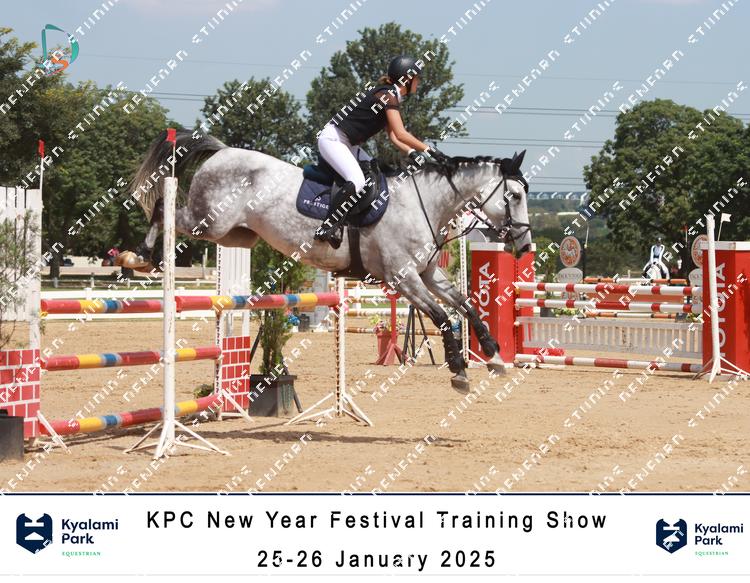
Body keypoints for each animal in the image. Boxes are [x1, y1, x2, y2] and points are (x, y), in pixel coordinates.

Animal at [125, 130, 532, 393]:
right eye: (513, 195)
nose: (526, 245)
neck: (423, 204)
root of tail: (223, 152)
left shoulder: (428, 274)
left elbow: (466, 305)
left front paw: (493, 356)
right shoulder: (402, 278)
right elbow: (443, 317)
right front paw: (460, 371)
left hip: (235, 235)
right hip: (209, 221)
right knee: (162, 209)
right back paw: (139, 256)